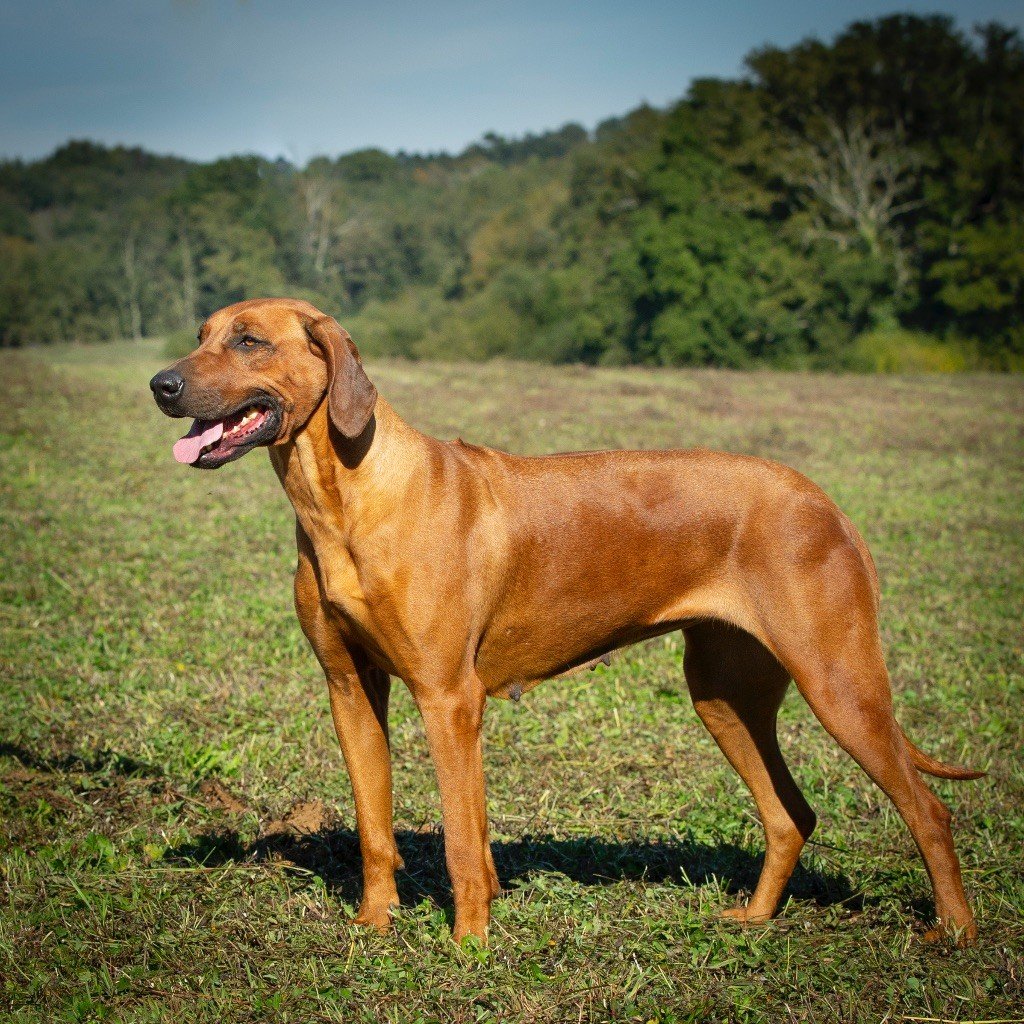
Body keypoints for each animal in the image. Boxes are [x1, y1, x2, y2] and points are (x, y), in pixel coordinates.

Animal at [149, 296, 983, 942]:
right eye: (201, 332)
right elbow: (375, 828)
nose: (160, 383)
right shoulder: (350, 691)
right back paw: (754, 918)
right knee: (790, 814)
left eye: (249, 340)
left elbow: (462, 841)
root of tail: (826, 501)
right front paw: (375, 925)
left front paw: (470, 945)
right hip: (724, 694)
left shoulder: (450, 699)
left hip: (839, 685)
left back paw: (955, 932)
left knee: (929, 810)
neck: (345, 500)